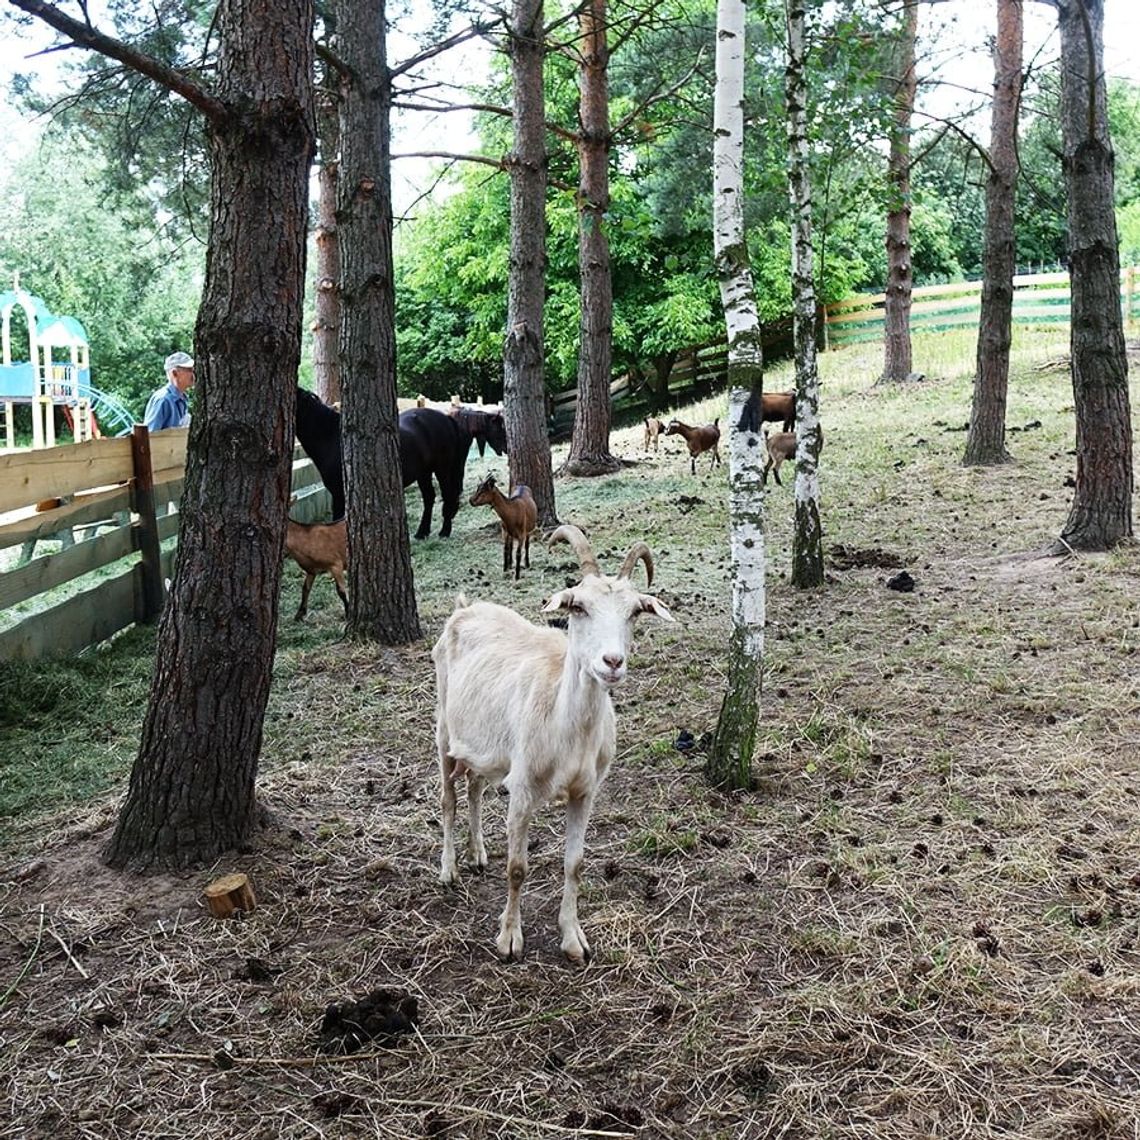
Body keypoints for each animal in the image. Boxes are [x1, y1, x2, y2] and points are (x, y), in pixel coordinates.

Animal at [294, 387, 508, 538]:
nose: (505, 448)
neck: (332, 437)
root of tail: (447, 419)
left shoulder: (340, 494)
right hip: (424, 473)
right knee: (429, 498)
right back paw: (422, 532)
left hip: (442, 468)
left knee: (447, 495)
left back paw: (444, 531)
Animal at [430, 524, 670, 962]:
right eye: (578, 607)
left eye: (634, 612)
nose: (612, 662)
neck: (567, 731)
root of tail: (464, 608)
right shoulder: (522, 787)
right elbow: (517, 868)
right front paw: (509, 939)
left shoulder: (585, 791)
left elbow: (575, 863)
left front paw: (574, 939)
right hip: (443, 726)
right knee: (448, 797)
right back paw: (449, 870)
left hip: (485, 744)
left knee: (474, 786)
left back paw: (477, 855)